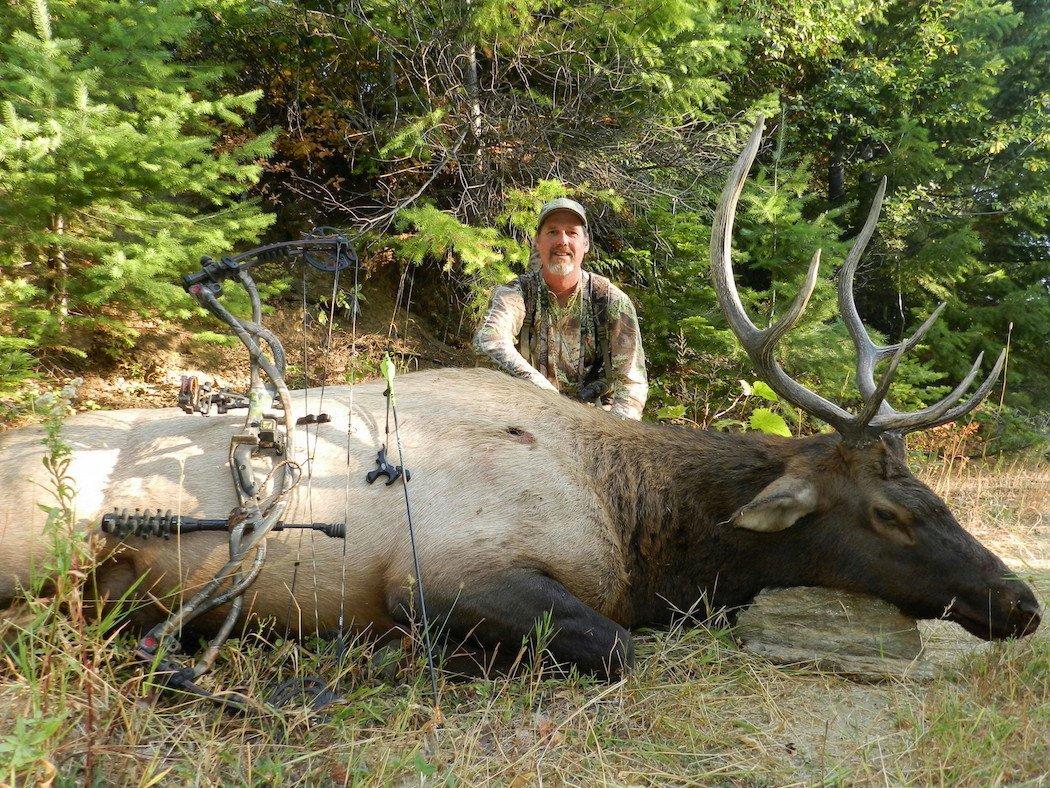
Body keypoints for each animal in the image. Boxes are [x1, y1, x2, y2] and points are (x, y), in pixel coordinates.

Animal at [0, 118, 1037, 685]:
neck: (641, 531)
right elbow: (618, 649)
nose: (1020, 600)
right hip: (44, 541)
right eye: (895, 513)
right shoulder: (445, 572)